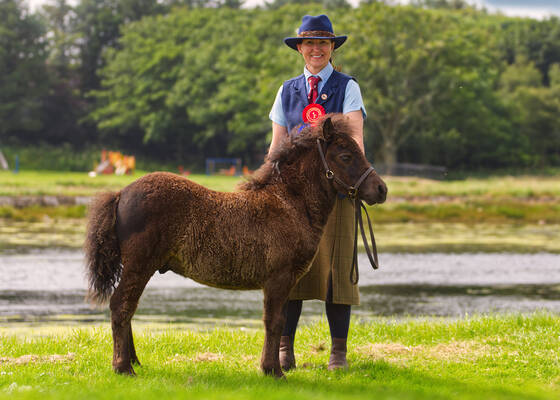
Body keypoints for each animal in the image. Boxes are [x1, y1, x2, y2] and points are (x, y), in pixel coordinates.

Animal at [85, 114, 388, 376]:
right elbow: (274, 321)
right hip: (139, 265)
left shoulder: (287, 280)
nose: (381, 189)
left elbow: (278, 321)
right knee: (121, 305)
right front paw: (274, 371)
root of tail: (121, 193)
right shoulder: (279, 278)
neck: (289, 203)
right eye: (346, 156)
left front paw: (271, 367)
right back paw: (123, 367)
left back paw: (133, 362)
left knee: (127, 307)